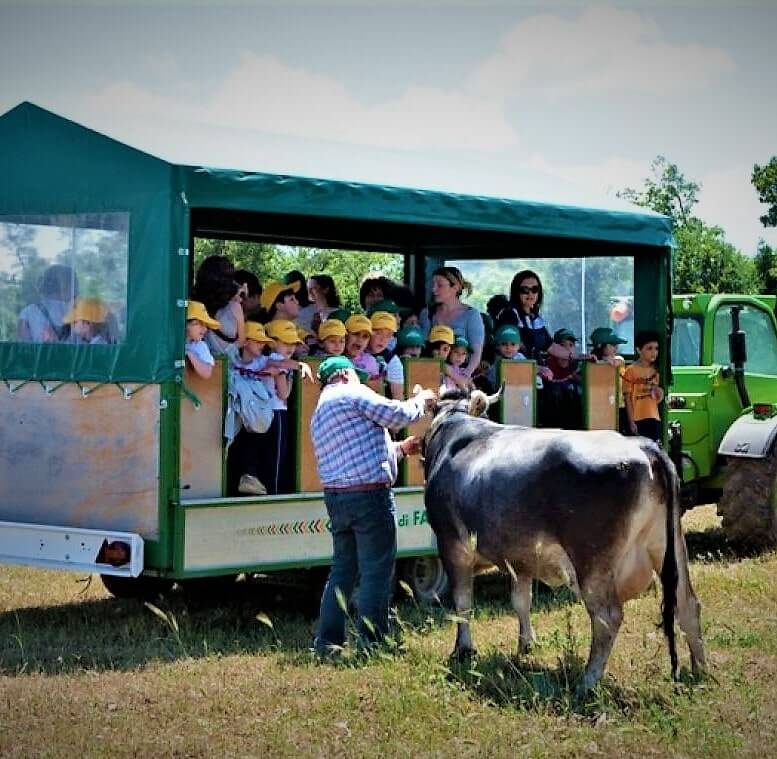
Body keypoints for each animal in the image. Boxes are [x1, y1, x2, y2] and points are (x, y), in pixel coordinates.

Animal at [422, 392, 708, 696]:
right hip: (667, 545)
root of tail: (642, 446)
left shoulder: (451, 544)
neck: (457, 427)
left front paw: (463, 650)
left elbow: (463, 603)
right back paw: (699, 669)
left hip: (592, 562)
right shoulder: (520, 557)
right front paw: (526, 644)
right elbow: (521, 601)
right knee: (688, 603)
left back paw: (587, 682)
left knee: (607, 617)